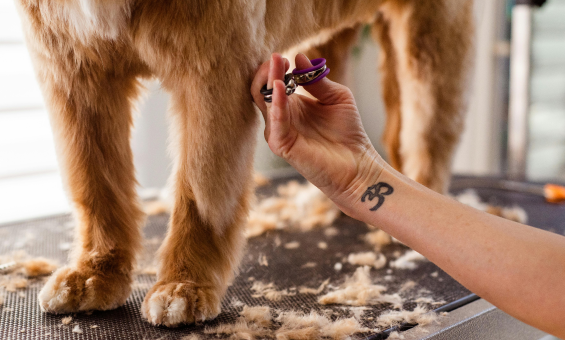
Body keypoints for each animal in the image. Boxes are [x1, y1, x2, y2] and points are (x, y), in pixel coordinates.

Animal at [14, 0, 472, 326]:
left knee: (429, 125)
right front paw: (95, 272)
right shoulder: (73, 70)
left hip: (431, 33)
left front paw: (185, 283)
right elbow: (95, 185)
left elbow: (201, 189)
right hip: (325, 39)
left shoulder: (212, 70)